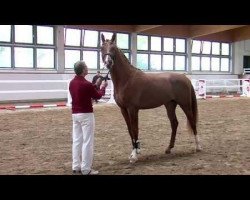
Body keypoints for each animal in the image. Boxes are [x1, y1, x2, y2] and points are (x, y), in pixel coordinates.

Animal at [99, 33, 201, 163]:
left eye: (114, 49)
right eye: (102, 48)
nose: (108, 62)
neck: (127, 79)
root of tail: (185, 78)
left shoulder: (133, 109)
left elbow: (135, 129)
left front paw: (135, 155)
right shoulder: (123, 109)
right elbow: (130, 130)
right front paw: (134, 151)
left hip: (185, 104)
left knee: (192, 121)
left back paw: (198, 147)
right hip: (170, 105)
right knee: (174, 123)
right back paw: (169, 148)